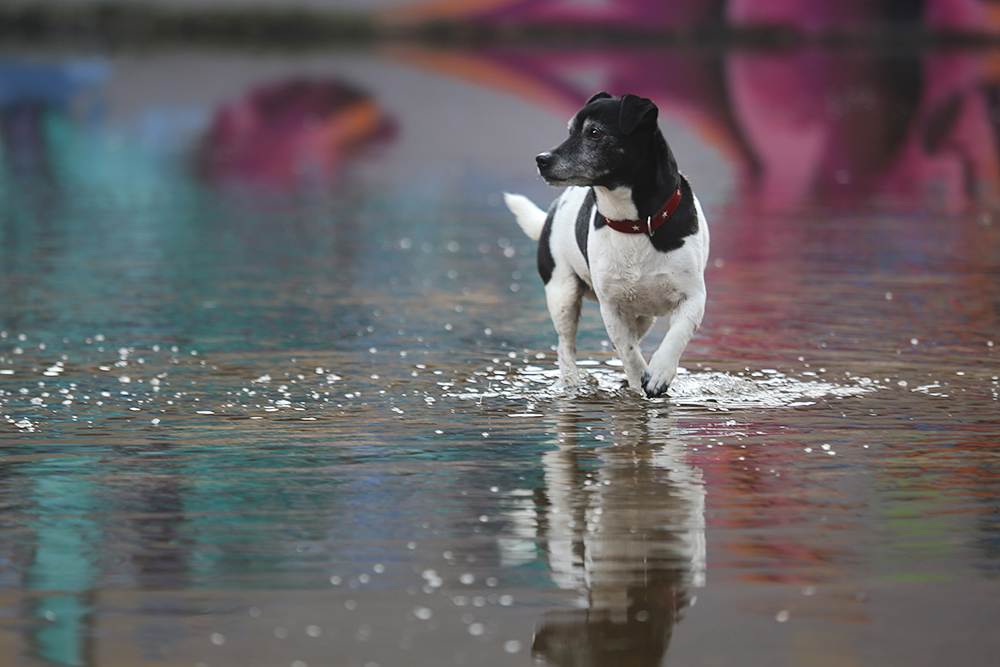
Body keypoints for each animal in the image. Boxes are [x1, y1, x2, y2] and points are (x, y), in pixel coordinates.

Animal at [504, 92, 708, 396]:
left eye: (594, 132)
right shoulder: (612, 308)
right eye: (570, 131)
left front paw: (659, 372)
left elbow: (676, 336)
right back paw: (572, 381)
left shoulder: (693, 298)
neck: (635, 224)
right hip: (562, 293)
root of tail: (550, 215)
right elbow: (630, 354)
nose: (541, 159)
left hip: (642, 316)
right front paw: (638, 382)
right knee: (565, 348)